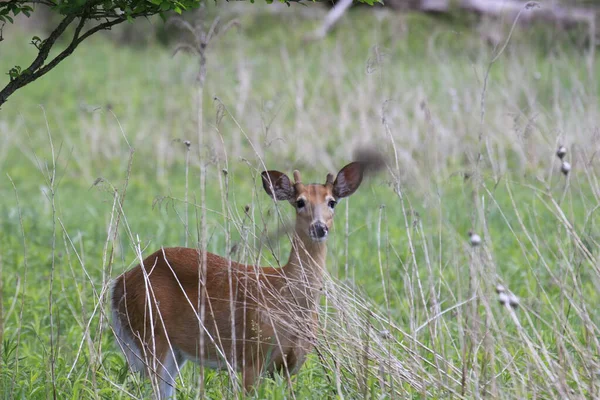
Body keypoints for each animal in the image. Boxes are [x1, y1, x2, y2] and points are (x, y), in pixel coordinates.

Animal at [110, 161, 366, 398]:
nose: (319, 227)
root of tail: (119, 284)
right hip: (150, 332)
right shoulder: (253, 355)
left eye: (332, 201)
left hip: (173, 349)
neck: (288, 297)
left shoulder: (292, 365)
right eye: (300, 201)